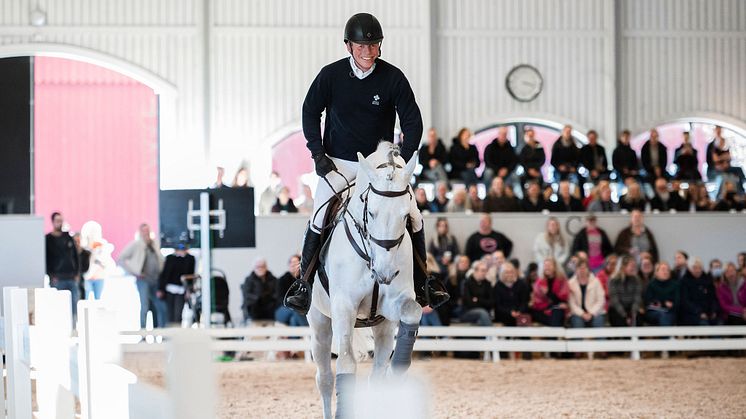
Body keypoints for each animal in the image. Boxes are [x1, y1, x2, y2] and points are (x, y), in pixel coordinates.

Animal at [306, 143, 422, 418]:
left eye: (406, 216)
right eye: (371, 212)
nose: (385, 273)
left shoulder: (396, 303)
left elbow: (412, 311)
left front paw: (399, 369)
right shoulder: (343, 307)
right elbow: (347, 362)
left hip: (384, 326)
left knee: (377, 373)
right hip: (320, 323)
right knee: (324, 378)